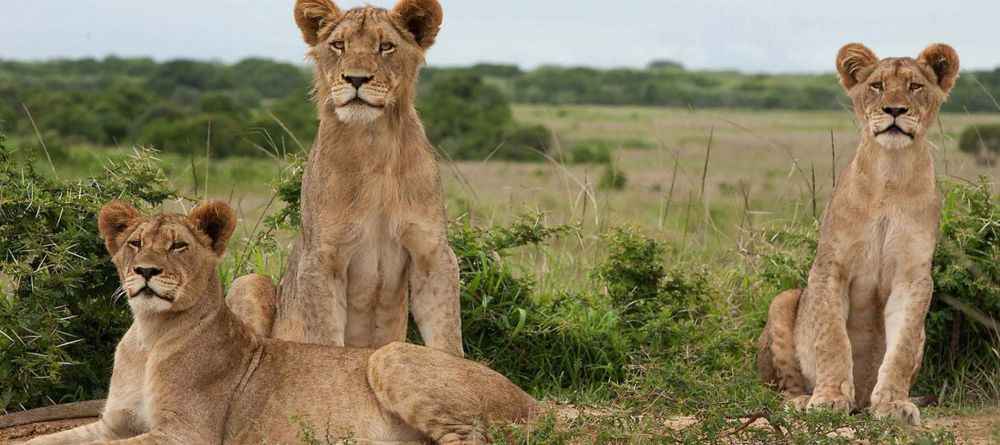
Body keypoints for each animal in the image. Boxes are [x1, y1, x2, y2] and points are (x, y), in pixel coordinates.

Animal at [23, 201, 536, 444]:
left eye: (178, 246)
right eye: (134, 243)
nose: (146, 271)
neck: (149, 334)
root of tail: (529, 398)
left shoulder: (186, 434)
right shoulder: (113, 425)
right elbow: (56, 440)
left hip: (390, 356)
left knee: (472, 436)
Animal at [756, 43, 960, 424]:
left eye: (915, 86)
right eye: (877, 85)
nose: (894, 110)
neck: (891, 174)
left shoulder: (913, 276)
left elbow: (901, 347)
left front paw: (893, 404)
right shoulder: (830, 268)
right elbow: (832, 338)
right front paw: (829, 398)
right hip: (784, 300)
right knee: (782, 387)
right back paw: (800, 401)